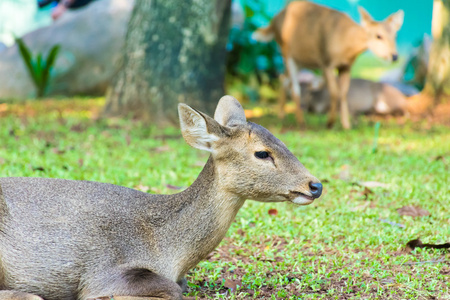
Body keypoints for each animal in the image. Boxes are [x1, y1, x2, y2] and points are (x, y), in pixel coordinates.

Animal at [253, 1, 404, 129]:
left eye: (395, 36)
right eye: (378, 36)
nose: (394, 56)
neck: (345, 44)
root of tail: (273, 21)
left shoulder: (346, 67)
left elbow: (343, 93)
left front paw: (346, 125)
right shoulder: (326, 62)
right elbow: (334, 92)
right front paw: (330, 123)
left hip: (300, 59)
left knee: (284, 79)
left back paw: (282, 116)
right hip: (287, 54)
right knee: (294, 87)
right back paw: (301, 122)